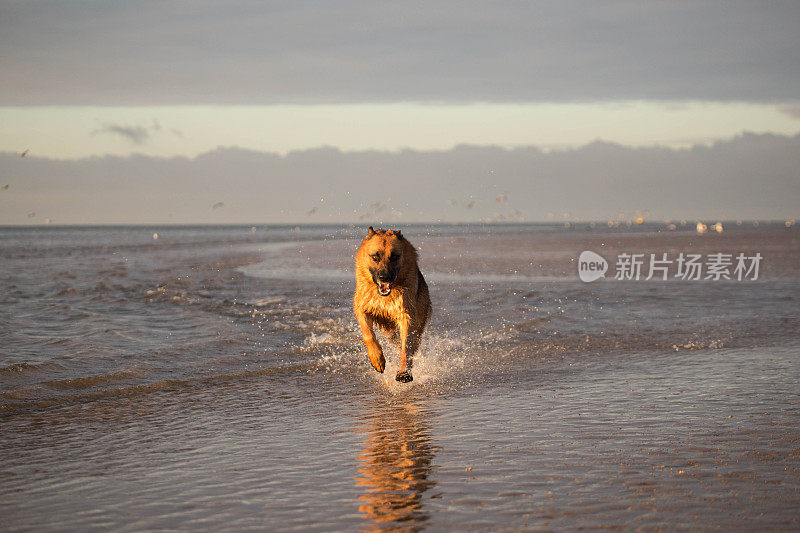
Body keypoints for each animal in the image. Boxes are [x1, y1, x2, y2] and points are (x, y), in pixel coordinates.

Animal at [354, 227, 432, 380]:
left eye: (394, 256)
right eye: (375, 257)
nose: (384, 277)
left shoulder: (406, 315)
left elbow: (406, 346)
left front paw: (404, 371)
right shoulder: (361, 308)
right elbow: (368, 334)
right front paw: (377, 359)